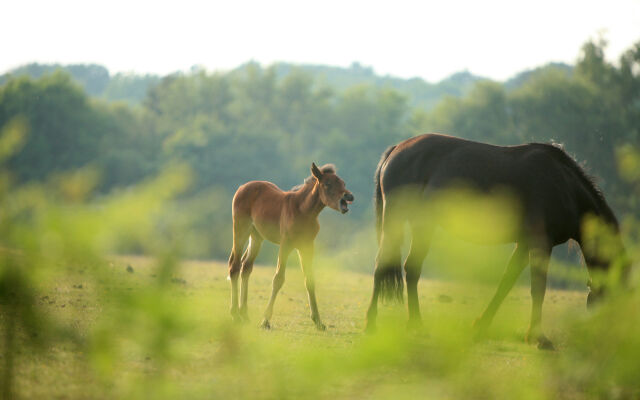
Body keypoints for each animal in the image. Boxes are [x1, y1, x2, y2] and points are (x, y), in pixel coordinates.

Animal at [228, 164, 356, 330]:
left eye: (343, 183)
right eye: (328, 184)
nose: (349, 197)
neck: (304, 211)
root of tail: (242, 187)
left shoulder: (307, 247)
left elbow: (309, 280)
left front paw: (318, 321)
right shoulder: (286, 244)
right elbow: (278, 279)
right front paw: (265, 321)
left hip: (256, 237)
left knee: (246, 267)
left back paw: (244, 315)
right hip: (241, 229)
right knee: (235, 266)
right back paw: (235, 315)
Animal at [368, 133, 628, 348]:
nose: (610, 339)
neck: (564, 186)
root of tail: (396, 150)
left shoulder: (524, 245)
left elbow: (506, 283)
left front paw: (481, 325)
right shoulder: (540, 243)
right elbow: (538, 288)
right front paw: (538, 337)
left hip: (423, 225)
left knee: (411, 269)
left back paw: (416, 326)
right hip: (397, 221)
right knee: (382, 266)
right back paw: (372, 323)